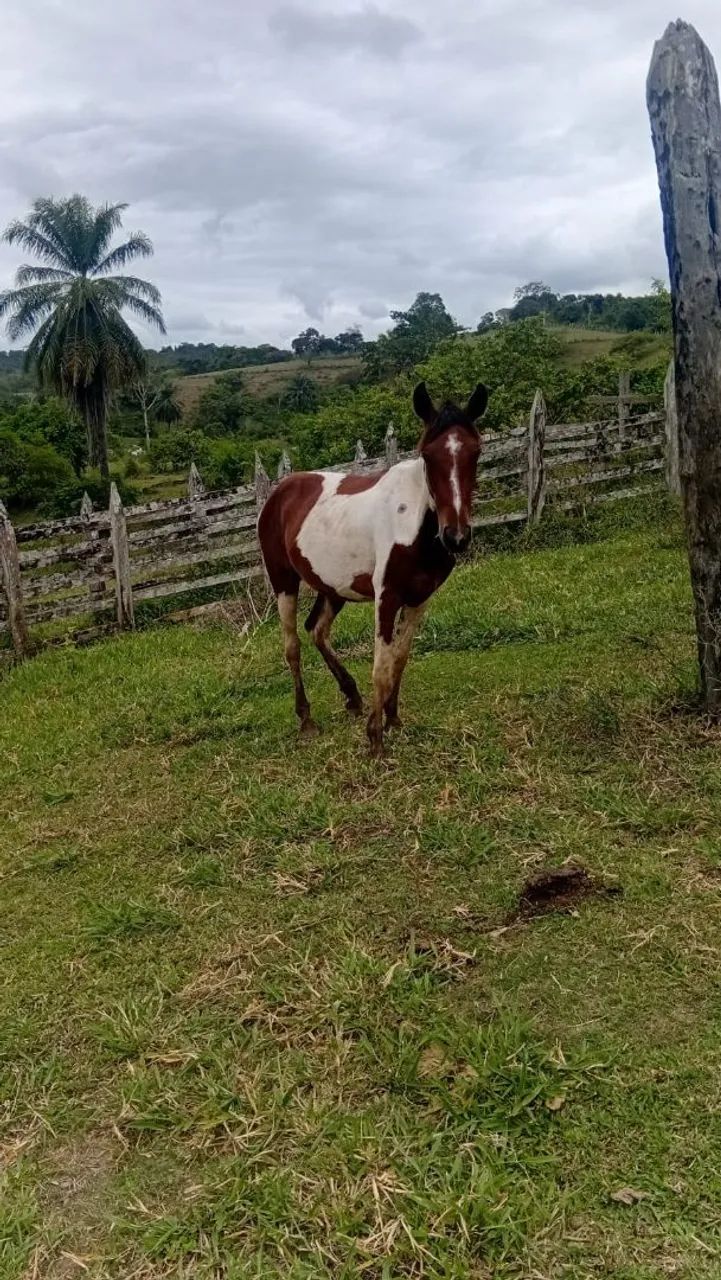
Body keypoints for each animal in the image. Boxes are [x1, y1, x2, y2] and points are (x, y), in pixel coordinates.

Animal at [257, 380, 489, 756]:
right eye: (428, 455)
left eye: (476, 452)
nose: (455, 537)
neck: (416, 526)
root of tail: (280, 492)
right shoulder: (387, 595)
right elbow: (381, 663)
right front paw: (376, 740)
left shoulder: (420, 597)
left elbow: (400, 656)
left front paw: (392, 719)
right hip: (284, 582)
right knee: (292, 645)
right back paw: (306, 720)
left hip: (332, 586)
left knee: (316, 629)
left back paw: (351, 696)